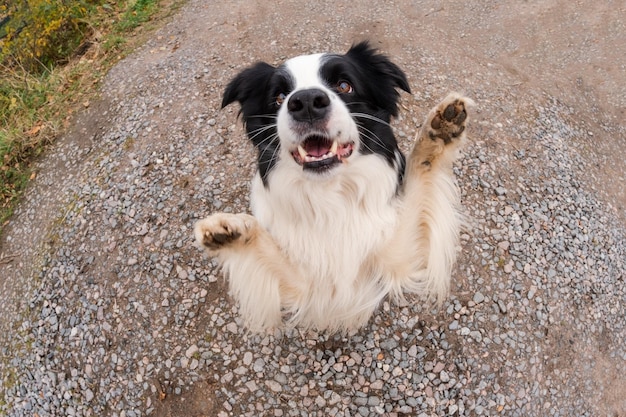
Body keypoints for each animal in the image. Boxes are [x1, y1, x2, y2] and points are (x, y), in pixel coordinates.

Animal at [193, 42, 470, 334]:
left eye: (344, 85)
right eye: (279, 96)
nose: (305, 102)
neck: (330, 195)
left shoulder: (392, 259)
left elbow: (420, 176)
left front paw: (439, 132)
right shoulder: (312, 288)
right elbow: (266, 248)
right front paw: (229, 229)